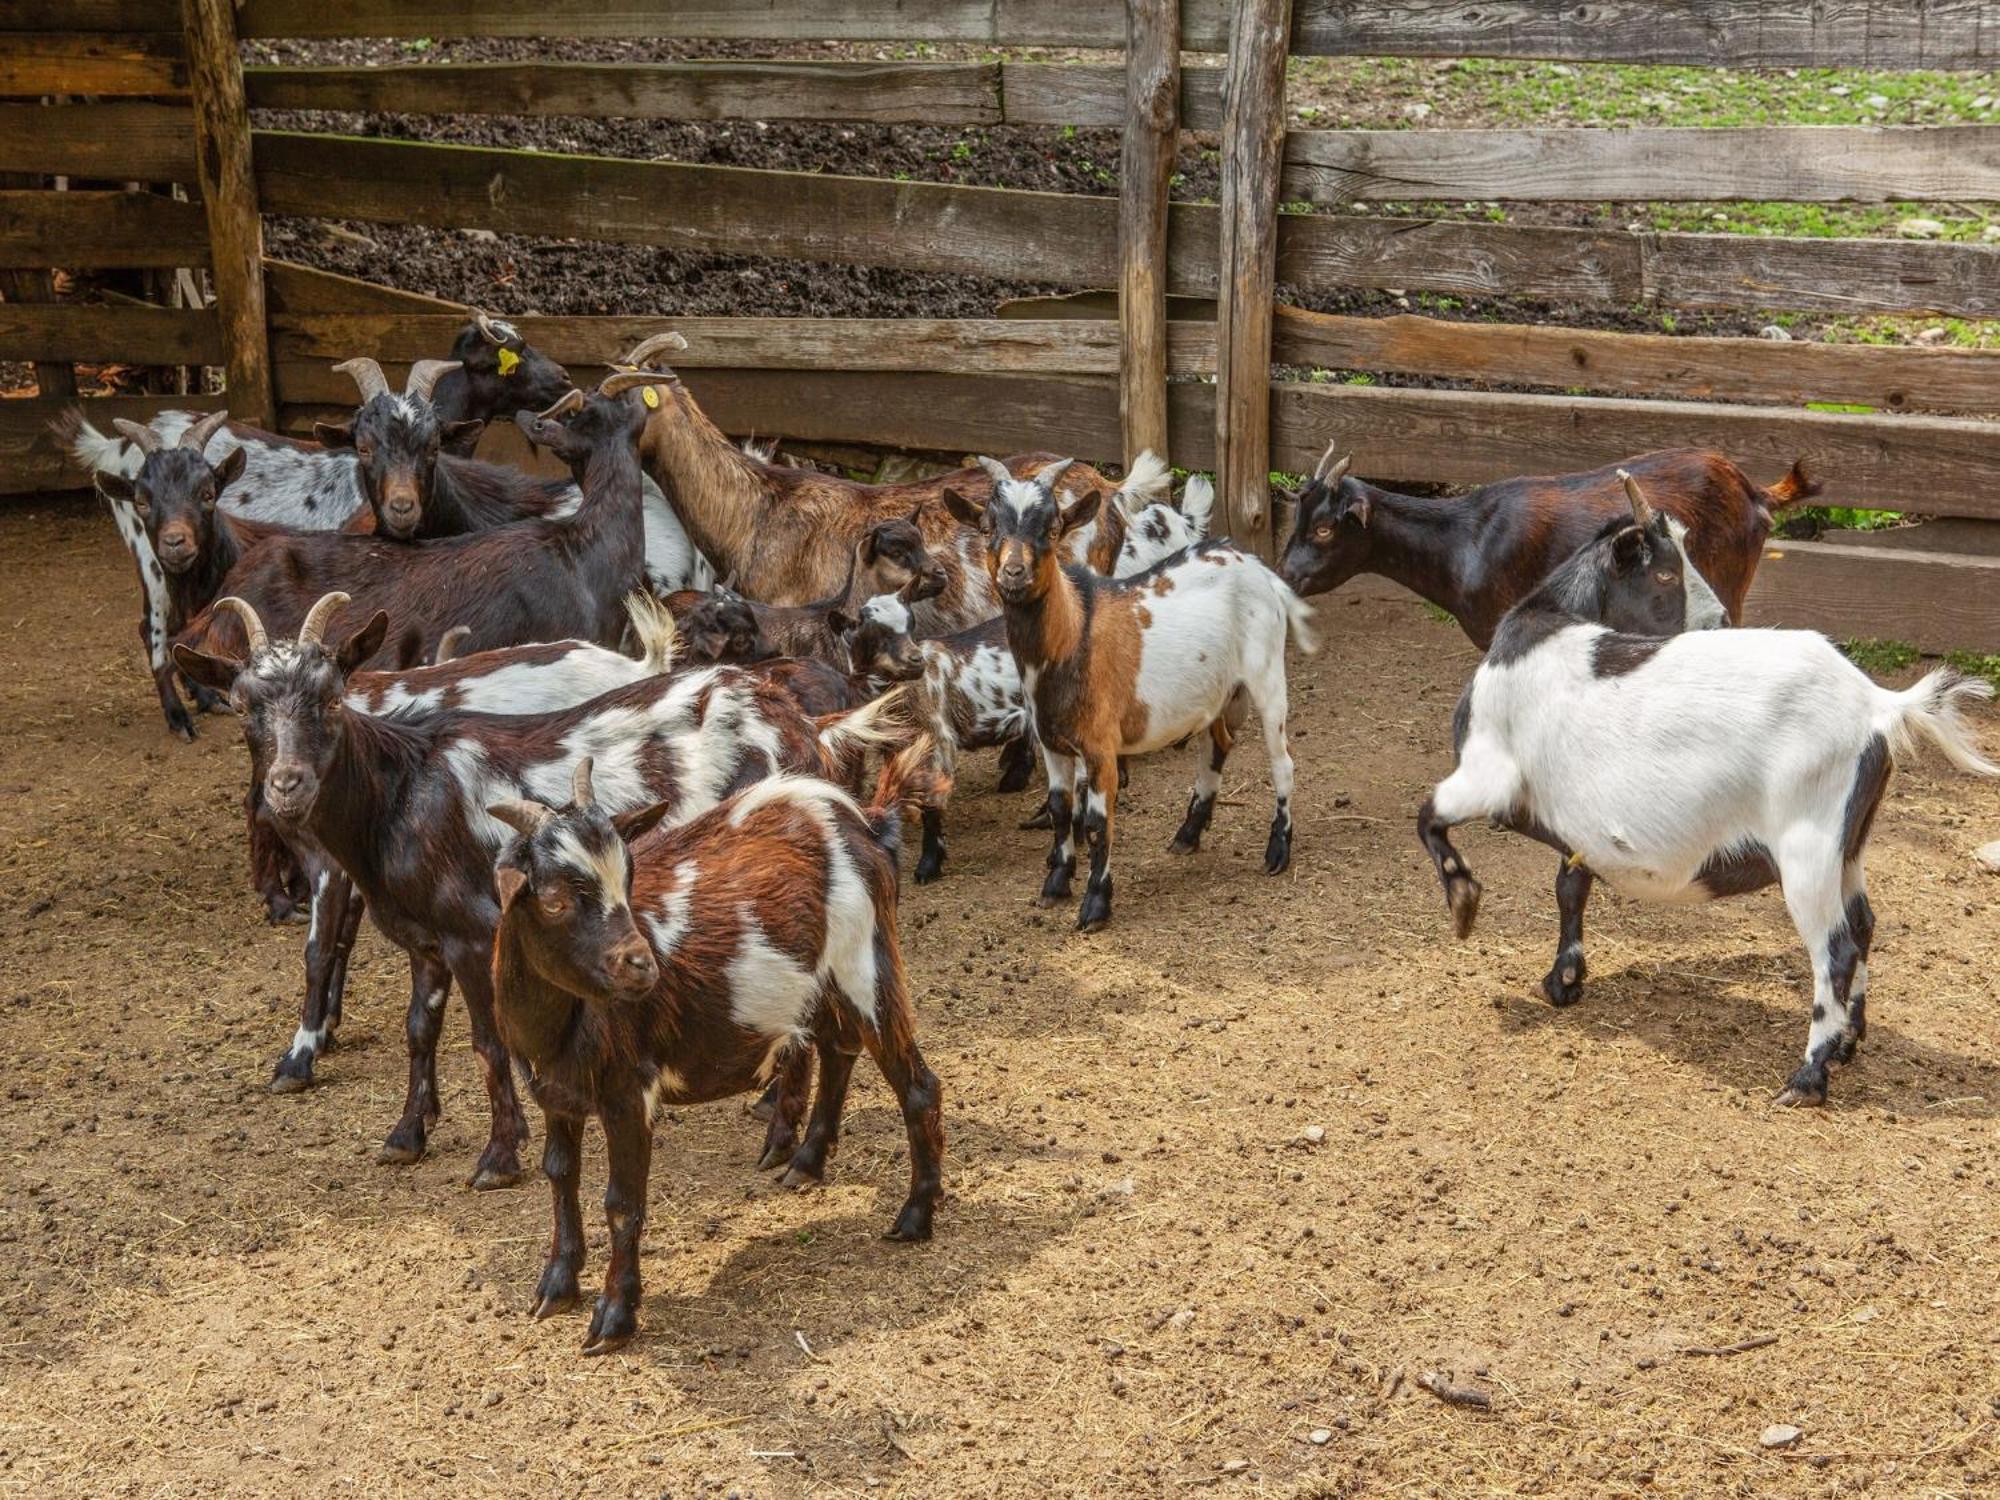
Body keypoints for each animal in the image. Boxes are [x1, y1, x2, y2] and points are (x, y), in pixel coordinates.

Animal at [176, 592, 904, 1184]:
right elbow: (419, 1029)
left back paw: (779, 1129)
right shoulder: (425, 940)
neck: (402, 791)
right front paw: (407, 1135)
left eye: (330, 697)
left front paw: (499, 1156)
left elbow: (487, 1041)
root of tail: (805, 728)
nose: (286, 785)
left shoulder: (474, 934)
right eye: (243, 707)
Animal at [1272, 438, 1824, 644]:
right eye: (1297, 517)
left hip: (1726, 587)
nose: (1286, 575)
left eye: (1324, 529)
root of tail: (1753, 492)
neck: (1465, 541)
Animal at [1416, 476, 1992, 1112]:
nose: (1718, 622)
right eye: (1667, 573)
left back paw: (1807, 1077)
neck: (1546, 625)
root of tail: (1878, 705)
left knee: (1835, 949)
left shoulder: (1486, 774)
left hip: (1808, 844)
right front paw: (1563, 980)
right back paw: (1847, 1042)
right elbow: (1570, 887)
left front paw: (1464, 906)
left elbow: (1430, 817)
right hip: (1849, 845)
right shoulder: (1580, 825)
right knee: (1863, 923)